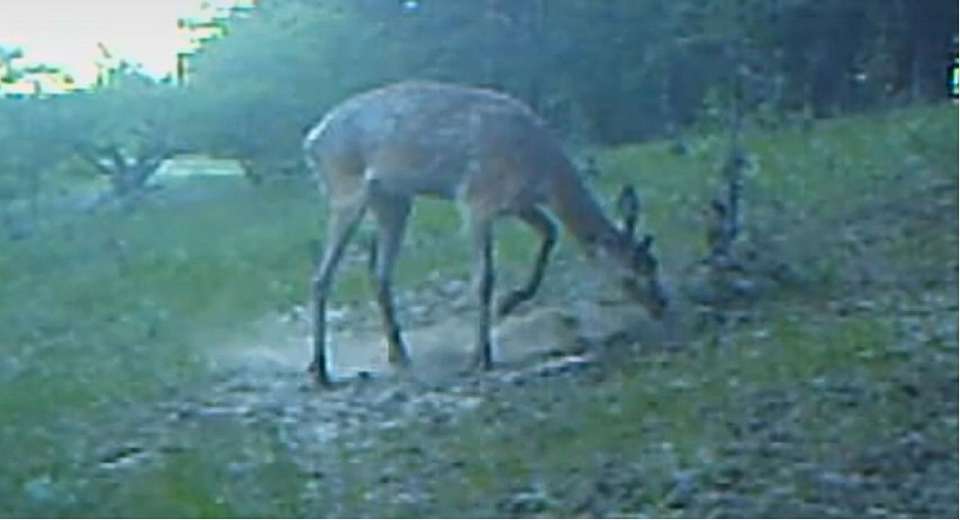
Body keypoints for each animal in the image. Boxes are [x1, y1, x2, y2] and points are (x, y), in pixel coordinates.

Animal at [302, 80, 668, 382]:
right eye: (629, 277)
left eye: (654, 264)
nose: (661, 305)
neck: (543, 172)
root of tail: (312, 141)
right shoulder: (477, 199)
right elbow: (484, 278)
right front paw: (482, 356)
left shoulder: (519, 203)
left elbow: (550, 233)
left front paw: (509, 303)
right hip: (346, 189)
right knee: (323, 275)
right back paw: (319, 368)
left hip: (393, 200)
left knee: (379, 273)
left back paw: (398, 354)